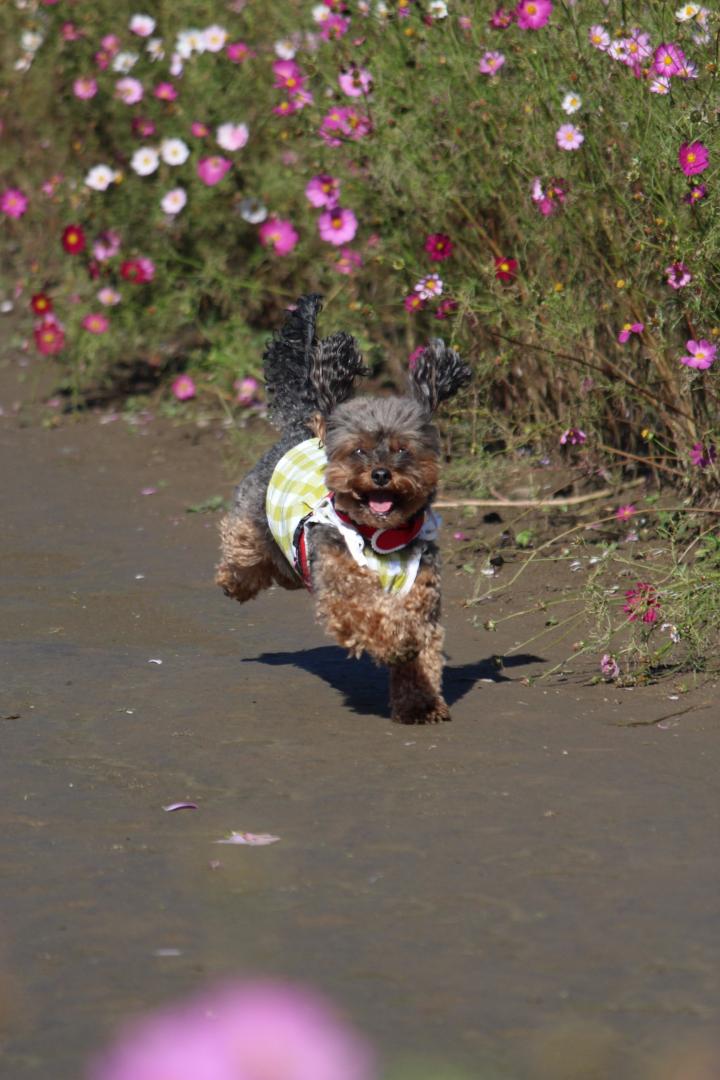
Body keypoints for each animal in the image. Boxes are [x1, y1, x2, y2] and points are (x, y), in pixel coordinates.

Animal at [213, 291, 472, 721]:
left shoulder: (421, 596)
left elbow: (424, 652)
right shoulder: (343, 592)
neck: (383, 538)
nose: (381, 474)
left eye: (403, 449)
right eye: (359, 450)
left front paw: (419, 701)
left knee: (281, 566)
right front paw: (397, 642)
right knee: (243, 549)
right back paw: (235, 581)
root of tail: (303, 427)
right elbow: (376, 618)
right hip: (251, 517)